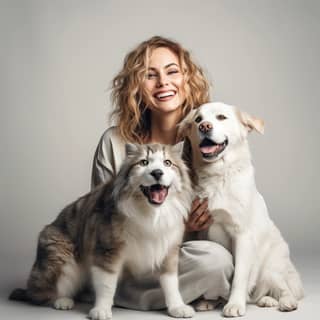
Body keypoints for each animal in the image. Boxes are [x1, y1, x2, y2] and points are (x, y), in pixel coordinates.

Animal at [179, 102, 304, 318]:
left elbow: (239, 277)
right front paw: (211, 300)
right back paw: (262, 300)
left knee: (284, 288)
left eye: (221, 117)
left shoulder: (242, 235)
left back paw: (285, 302)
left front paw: (235, 304)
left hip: (270, 268)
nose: (204, 126)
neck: (219, 175)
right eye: (197, 119)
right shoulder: (204, 231)